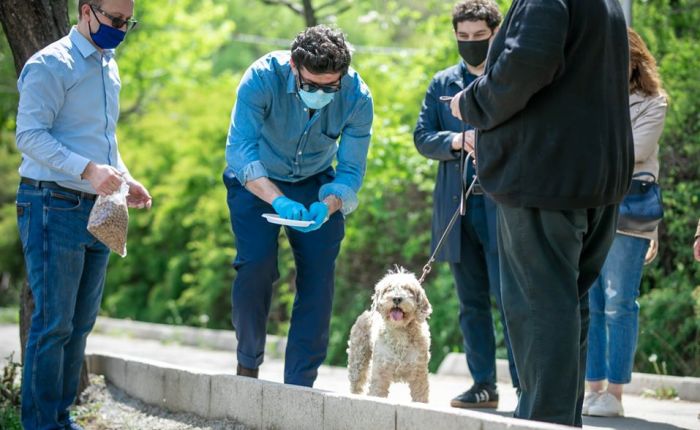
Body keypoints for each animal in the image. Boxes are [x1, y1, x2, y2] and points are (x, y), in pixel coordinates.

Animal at [346, 268, 432, 402]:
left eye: (408, 289)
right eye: (388, 289)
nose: (397, 298)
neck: (399, 332)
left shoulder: (419, 372)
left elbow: (421, 397)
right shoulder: (380, 372)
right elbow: (376, 393)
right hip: (357, 360)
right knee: (356, 384)